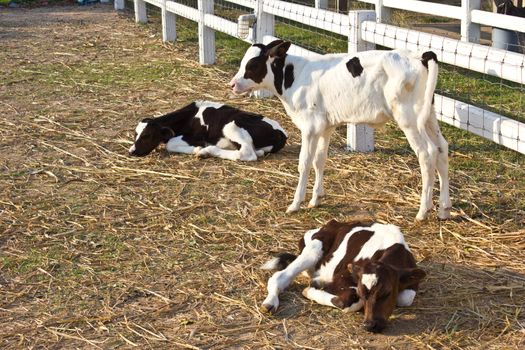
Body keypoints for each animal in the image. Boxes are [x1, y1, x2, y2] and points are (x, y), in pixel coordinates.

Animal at [129, 100, 288, 161]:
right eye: (135, 134)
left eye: (147, 135)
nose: (132, 151)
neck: (189, 116)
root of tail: (282, 132)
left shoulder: (195, 136)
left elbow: (170, 144)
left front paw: (197, 149)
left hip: (231, 125)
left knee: (246, 153)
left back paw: (206, 151)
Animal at [229, 41, 450, 220]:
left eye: (253, 65)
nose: (232, 84)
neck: (296, 76)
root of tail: (420, 56)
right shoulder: (325, 126)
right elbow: (319, 160)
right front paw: (316, 199)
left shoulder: (309, 127)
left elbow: (304, 163)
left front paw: (295, 203)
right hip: (428, 116)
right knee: (442, 149)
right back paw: (443, 209)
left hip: (409, 118)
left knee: (427, 153)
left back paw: (423, 210)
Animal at [260, 220, 424, 332]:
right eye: (363, 293)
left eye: (387, 292)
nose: (369, 325)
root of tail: (333, 223)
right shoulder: (345, 276)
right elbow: (348, 299)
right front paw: (311, 290)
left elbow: (404, 298)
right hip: (315, 248)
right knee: (279, 276)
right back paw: (270, 302)